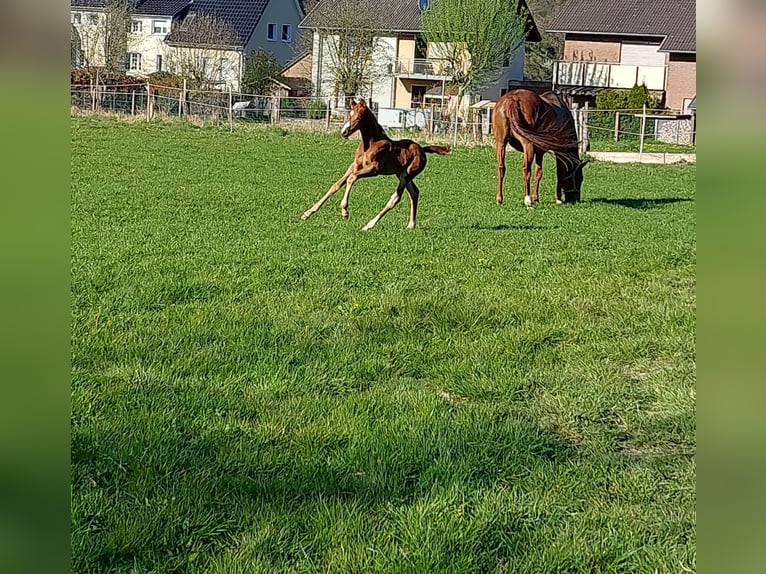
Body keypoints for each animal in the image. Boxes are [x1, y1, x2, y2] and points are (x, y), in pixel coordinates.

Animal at [302, 99, 456, 232]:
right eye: (349, 114)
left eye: (358, 118)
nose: (344, 132)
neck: (369, 144)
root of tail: (422, 150)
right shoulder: (354, 165)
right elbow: (336, 184)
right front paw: (308, 212)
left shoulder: (373, 169)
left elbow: (352, 179)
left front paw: (345, 211)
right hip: (401, 174)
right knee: (414, 193)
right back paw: (411, 225)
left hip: (407, 175)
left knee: (395, 198)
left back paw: (369, 225)